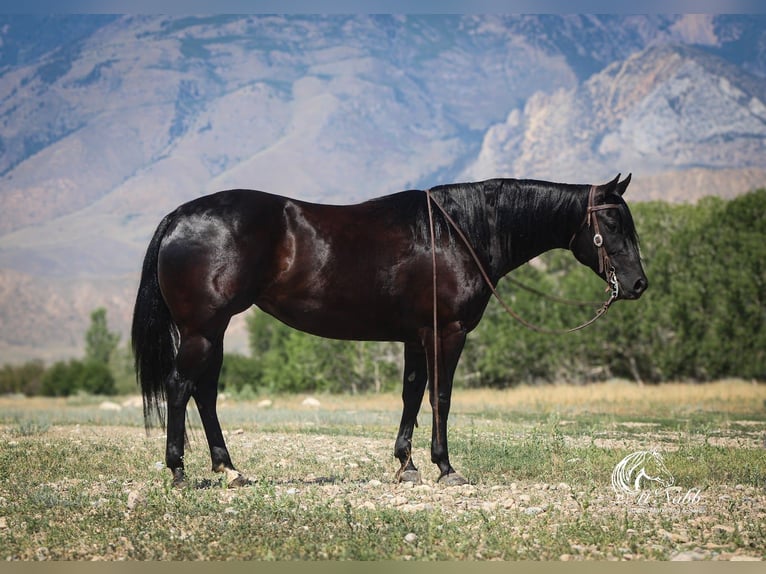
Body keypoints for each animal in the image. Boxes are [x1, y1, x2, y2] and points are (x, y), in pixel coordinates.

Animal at [132, 174, 647, 488]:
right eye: (612, 220)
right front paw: (445, 467)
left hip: (213, 331)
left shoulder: (415, 337)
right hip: (202, 329)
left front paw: (407, 464)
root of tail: (177, 218)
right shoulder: (446, 333)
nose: (638, 285)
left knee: (204, 393)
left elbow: (411, 395)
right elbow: (440, 397)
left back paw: (229, 469)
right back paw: (179, 471)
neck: (457, 232)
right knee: (180, 387)